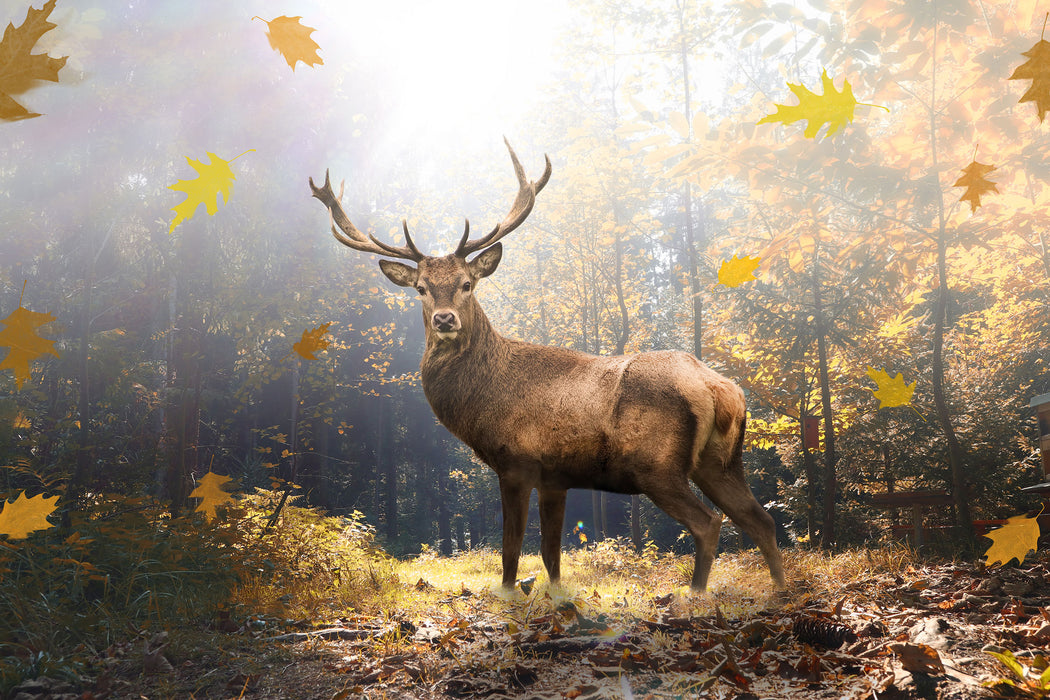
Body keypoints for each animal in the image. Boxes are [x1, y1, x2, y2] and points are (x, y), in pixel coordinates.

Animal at [310, 139, 789, 596]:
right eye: (422, 288)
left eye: (467, 284)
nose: (445, 319)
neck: (482, 401)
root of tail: (720, 388)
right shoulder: (556, 477)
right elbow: (551, 553)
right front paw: (555, 596)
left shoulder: (516, 461)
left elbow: (510, 549)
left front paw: (507, 595)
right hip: (722, 461)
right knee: (762, 519)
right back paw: (781, 590)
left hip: (657, 465)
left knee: (710, 523)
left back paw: (695, 593)